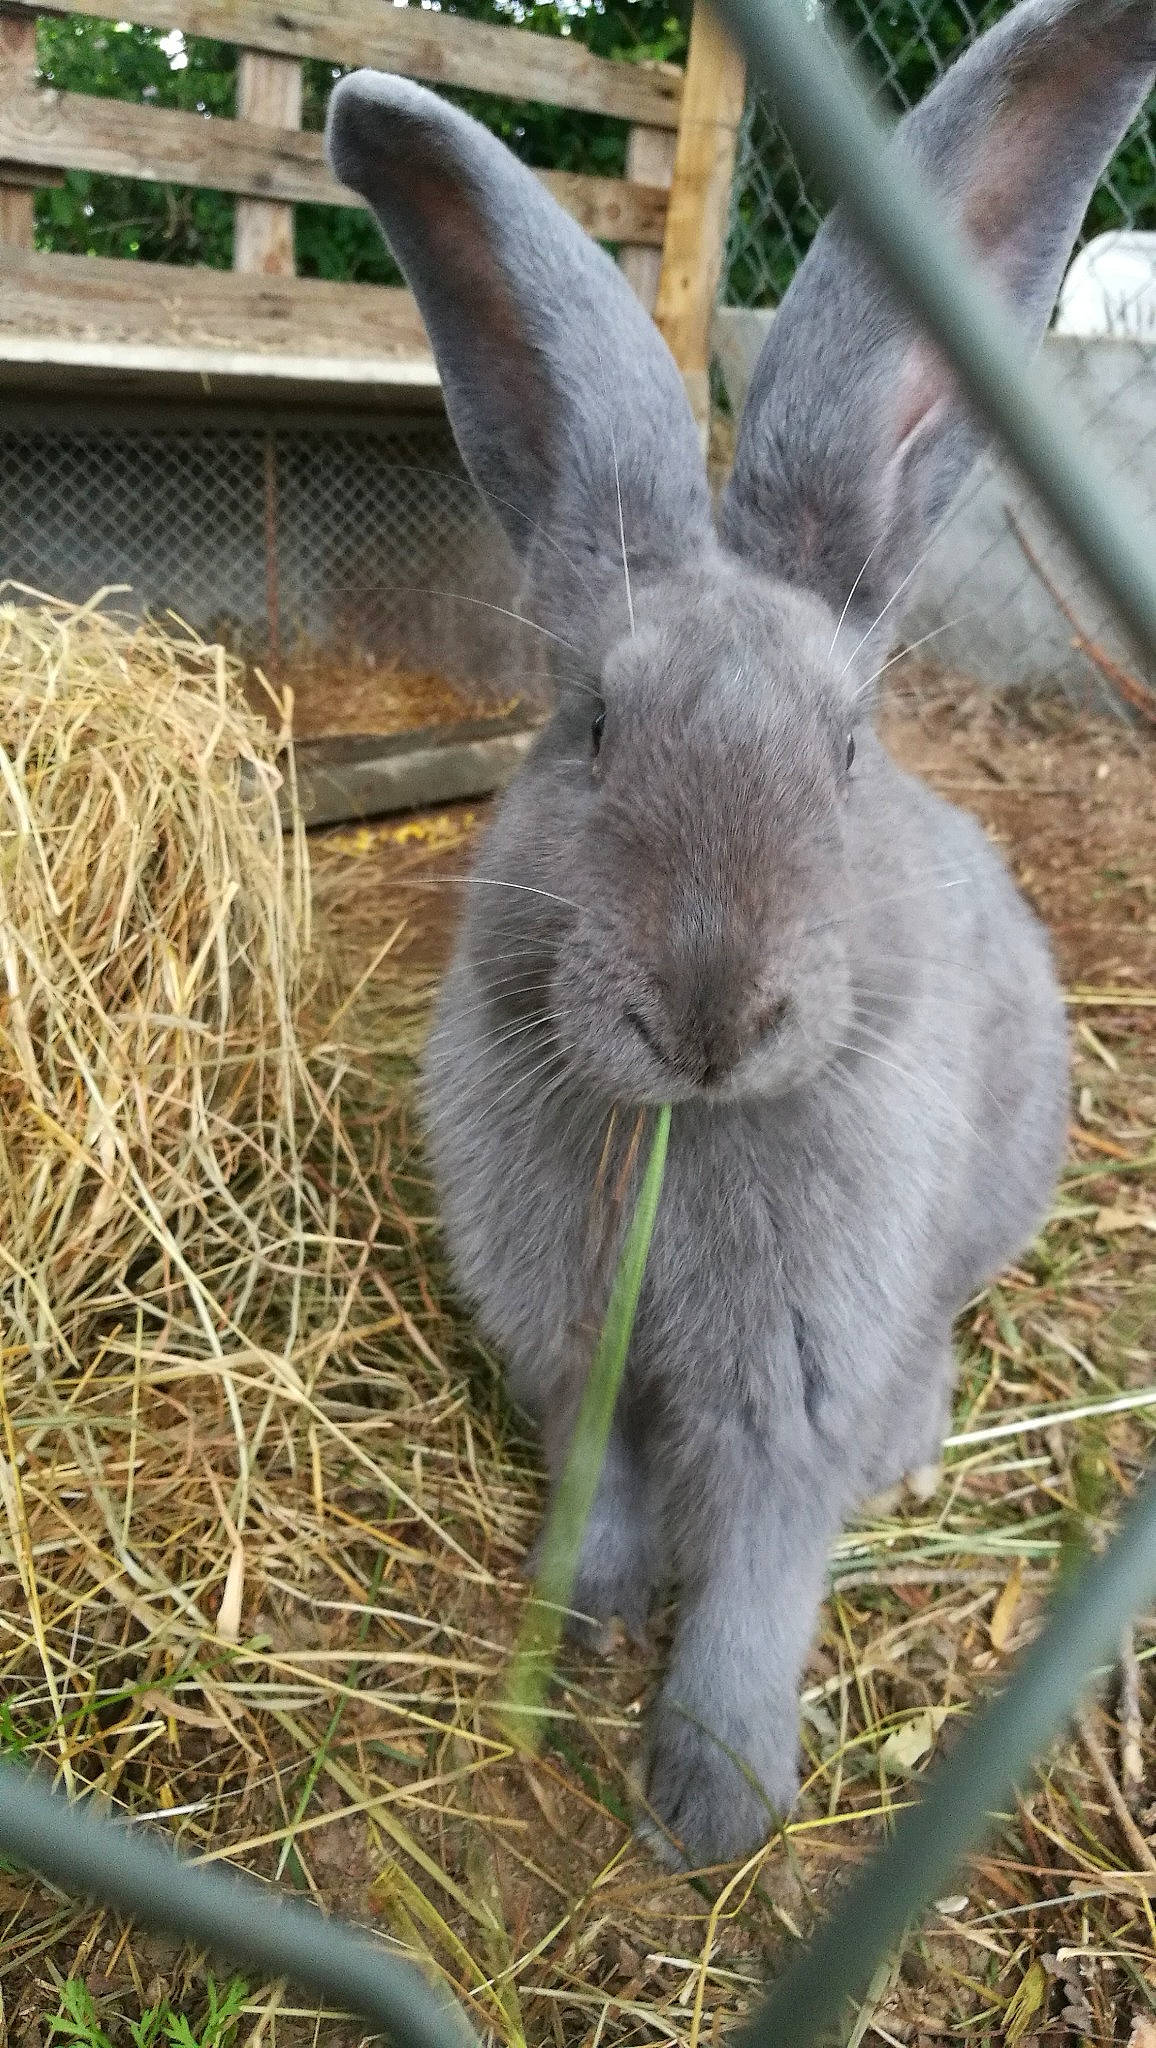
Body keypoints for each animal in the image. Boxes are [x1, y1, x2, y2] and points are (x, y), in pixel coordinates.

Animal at [325, 0, 1156, 1868]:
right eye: (589, 728)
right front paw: (588, 1620)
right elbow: (612, 1491)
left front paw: (710, 1800)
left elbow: (762, 1572)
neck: (686, 1139)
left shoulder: (790, 1388)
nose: (708, 1011)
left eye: (844, 749)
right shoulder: (580, 1363)